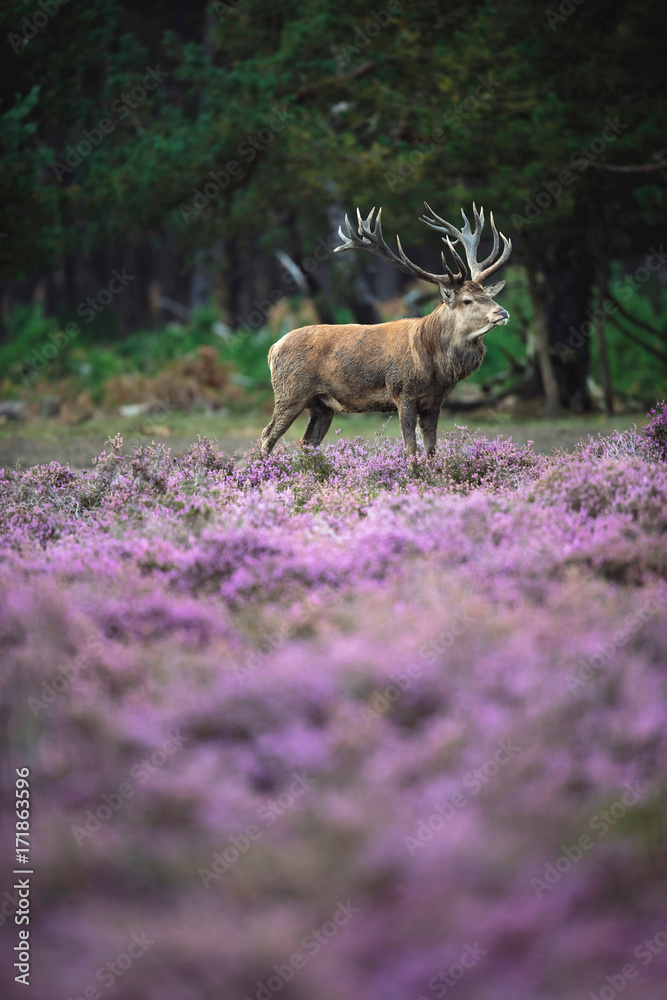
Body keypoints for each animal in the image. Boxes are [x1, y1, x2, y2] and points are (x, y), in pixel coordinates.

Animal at [260, 202, 512, 457]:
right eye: (467, 300)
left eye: (488, 295)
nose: (502, 313)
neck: (434, 366)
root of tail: (273, 348)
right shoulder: (403, 393)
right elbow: (410, 447)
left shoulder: (435, 401)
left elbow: (431, 450)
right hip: (290, 393)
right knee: (267, 435)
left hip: (321, 404)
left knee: (307, 443)